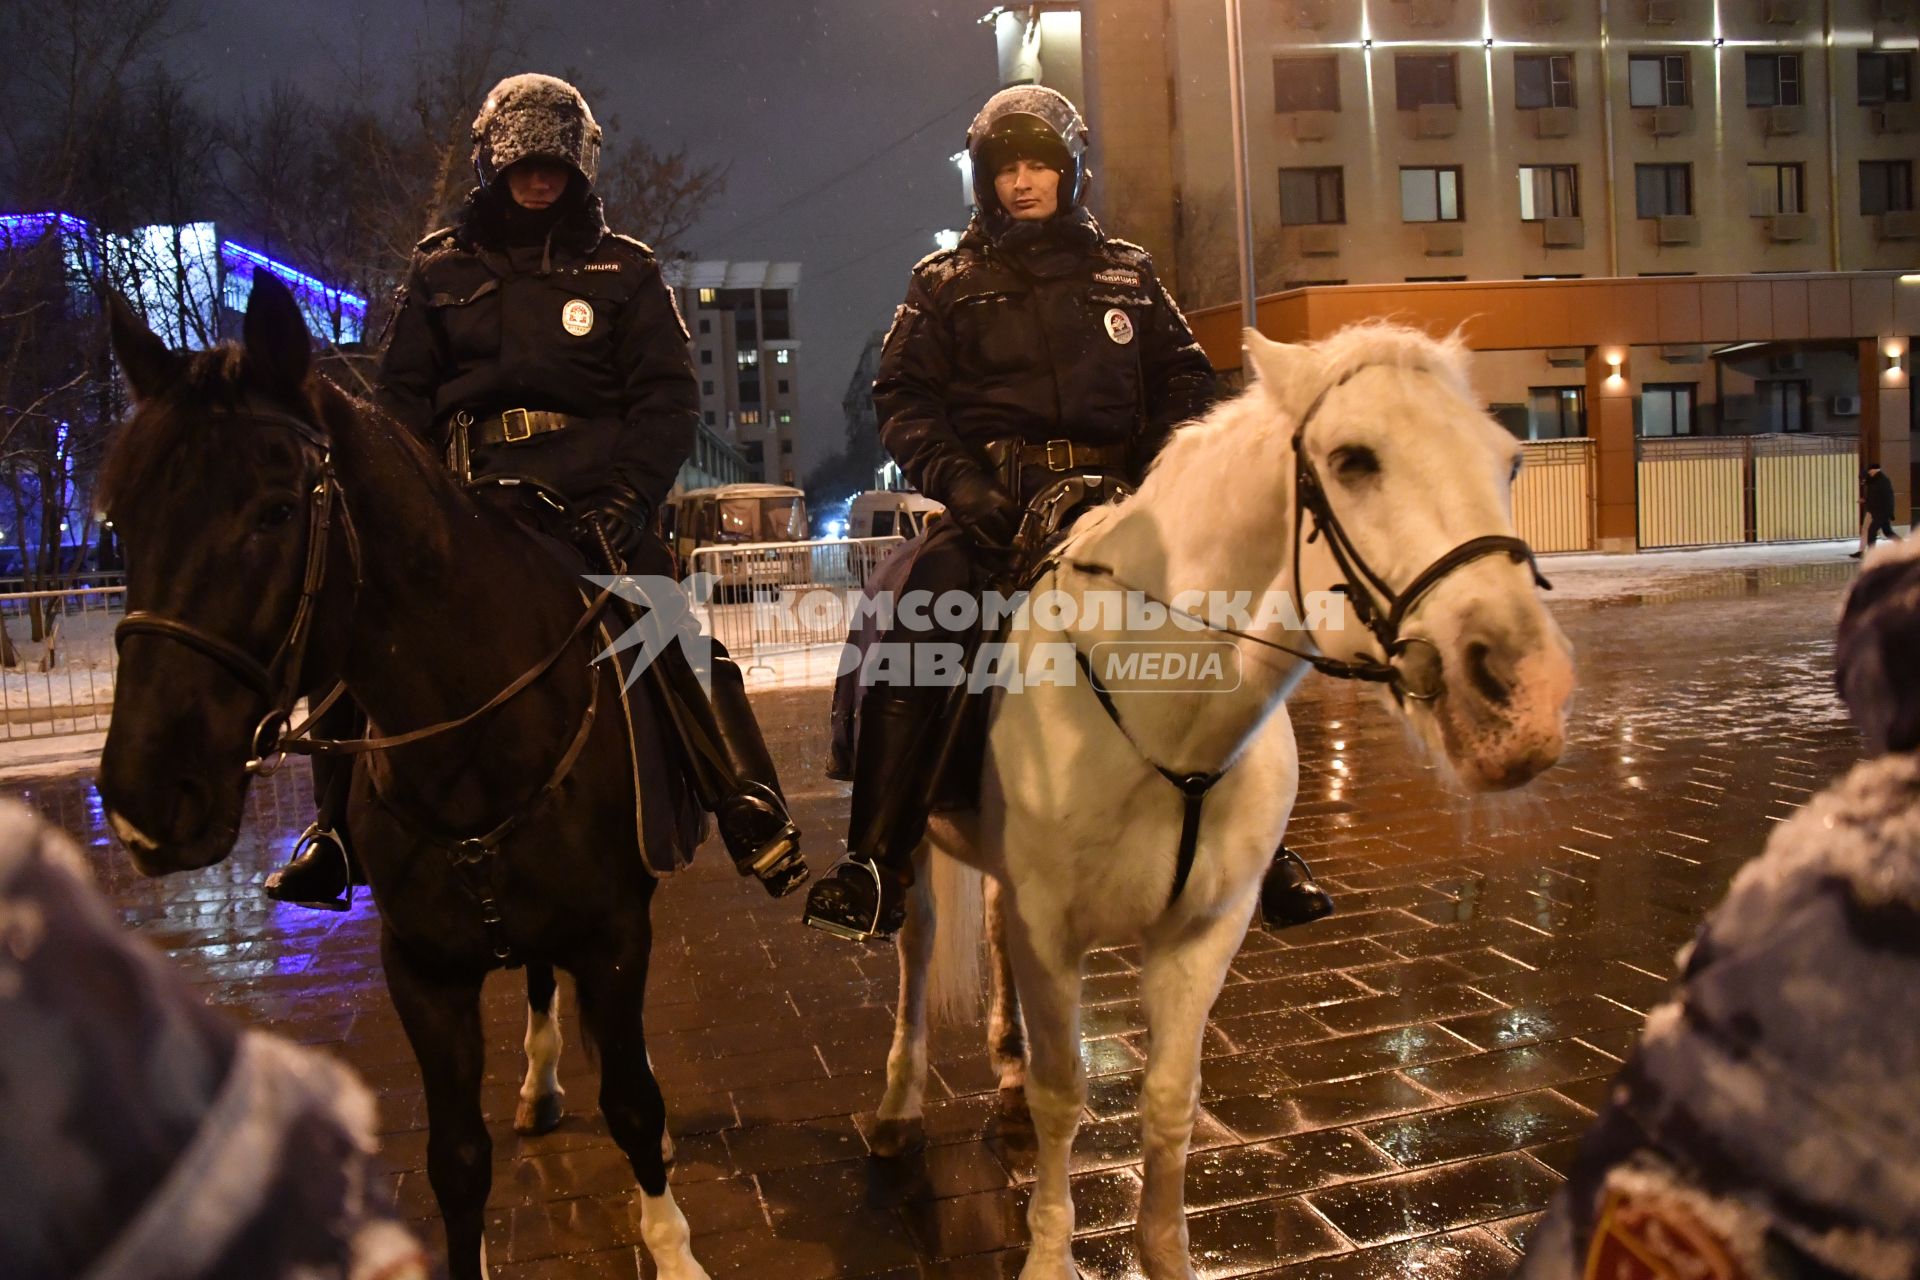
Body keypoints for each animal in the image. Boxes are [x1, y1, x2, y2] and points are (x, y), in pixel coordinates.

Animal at [99, 272, 714, 1280]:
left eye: (276, 510)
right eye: (121, 519)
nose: (144, 799)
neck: (477, 745)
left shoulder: (616, 933)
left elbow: (632, 1102)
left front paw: (671, 1245)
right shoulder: (422, 971)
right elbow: (456, 1160)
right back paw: (540, 1082)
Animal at [867, 322, 1574, 1280]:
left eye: (1510, 460)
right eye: (1352, 459)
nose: (1523, 699)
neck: (1158, 698)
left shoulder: (1206, 927)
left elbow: (1171, 1095)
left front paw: (1165, 1255)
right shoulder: (1053, 929)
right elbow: (1064, 1098)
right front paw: (1050, 1253)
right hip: (908, 857)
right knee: (917, 953)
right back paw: (897, 1109)